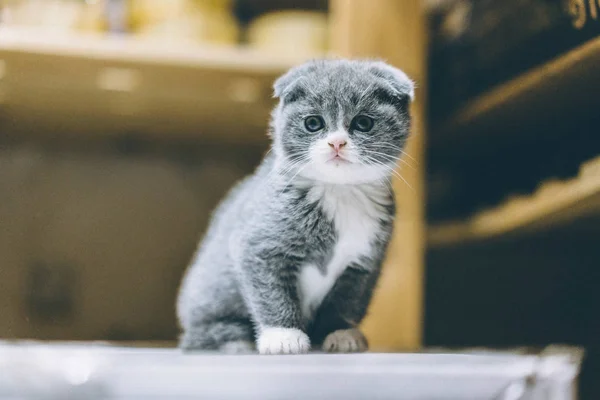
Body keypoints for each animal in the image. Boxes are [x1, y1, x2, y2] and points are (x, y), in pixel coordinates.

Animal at [176, 58, 414, 354]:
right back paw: (236, 341)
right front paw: (283, 335)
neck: (338, 193)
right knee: (203, 336)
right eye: (313, 123)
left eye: (363, 123)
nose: (337, 142)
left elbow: (345, 302)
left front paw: (339, 332)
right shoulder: (259, 245)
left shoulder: (363, 264)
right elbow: (271, 291)